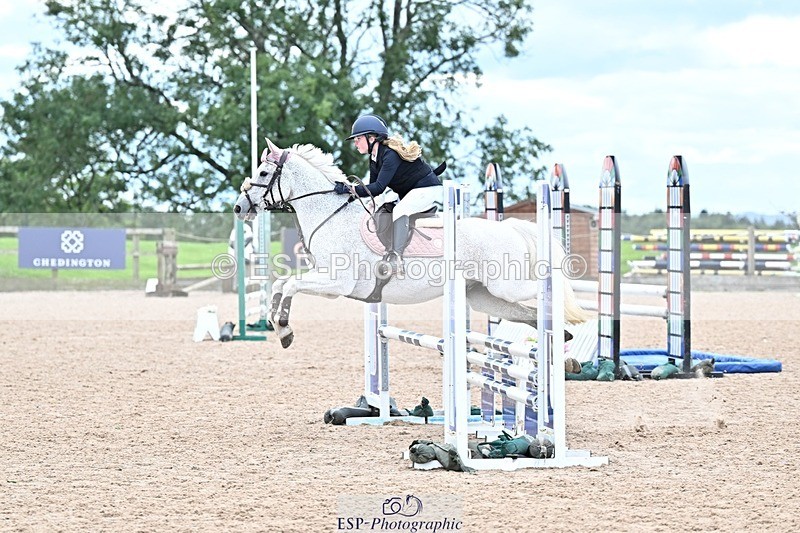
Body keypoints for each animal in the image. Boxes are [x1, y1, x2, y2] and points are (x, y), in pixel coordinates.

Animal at [233, 139, 591, 348]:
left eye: (263, 173)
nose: (238, 207)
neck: (330, 214)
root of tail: (511, 229)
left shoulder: (337, 283)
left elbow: (291, 284)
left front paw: (283, 328)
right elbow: (281, 283)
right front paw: (278, 328)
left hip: (507, 284)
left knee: (548, 287)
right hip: (484, 297)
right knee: (523, 311)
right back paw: (562, 339)